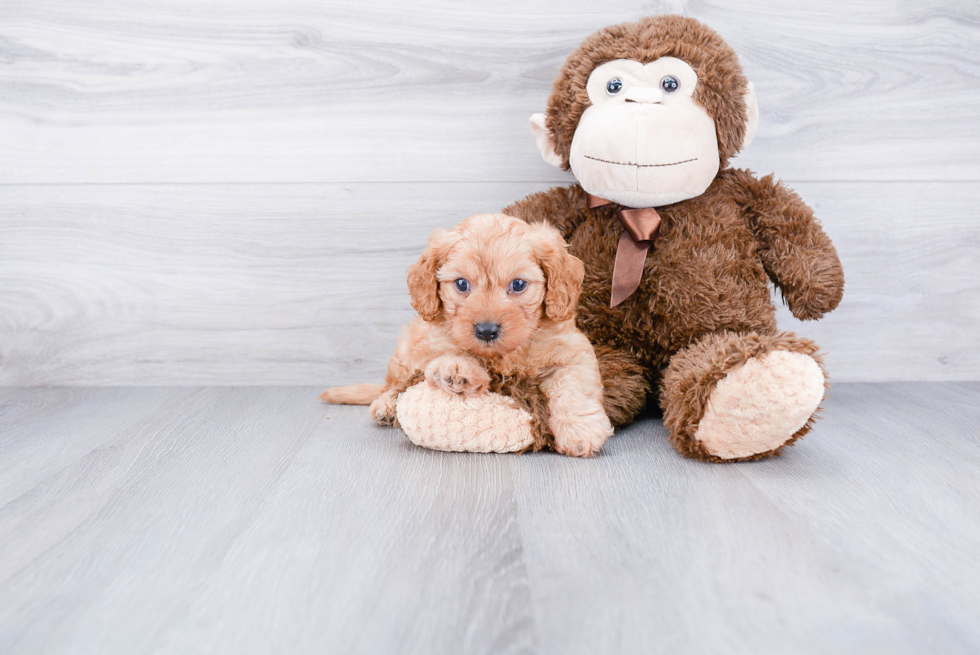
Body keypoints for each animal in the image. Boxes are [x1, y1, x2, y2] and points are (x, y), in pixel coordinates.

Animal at [322, 214, 612, 456]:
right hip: (405, 350)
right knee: (394, 384)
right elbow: (450, 350)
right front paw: (459, 368)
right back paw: (385, 406)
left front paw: (580, 433)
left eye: (518, 284)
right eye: (461, 284)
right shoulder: (431, 340)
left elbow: (573, 387)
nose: (486, 330)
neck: (504, 355)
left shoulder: (573, 351)